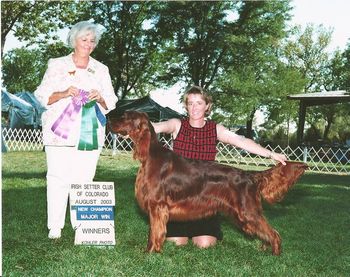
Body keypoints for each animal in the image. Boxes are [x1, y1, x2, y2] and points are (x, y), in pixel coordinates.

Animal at [108, 110, 308, 254]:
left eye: (125, 116)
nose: (108, 120)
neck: (150, 156)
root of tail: (249, 175)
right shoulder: (157, 207)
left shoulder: (157, 206)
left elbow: (155, 233)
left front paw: (150, 253)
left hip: (248, 212)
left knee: (274, 234)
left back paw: (275, 255)